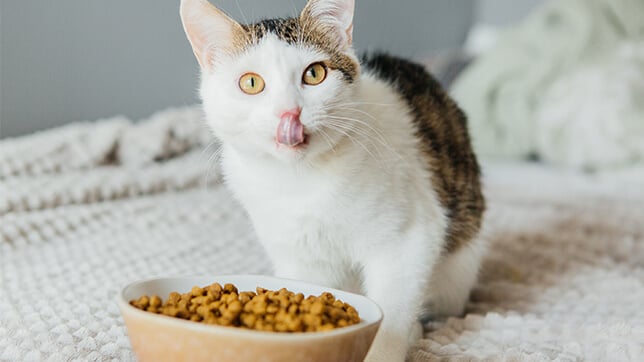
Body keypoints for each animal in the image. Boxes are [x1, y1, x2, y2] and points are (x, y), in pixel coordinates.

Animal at [179, 1, 486, 360]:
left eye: (314, 74)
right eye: (251, 83)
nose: (289, 113)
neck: (302, 180)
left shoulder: (410, 236)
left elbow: (393, 306)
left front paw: (383, 348)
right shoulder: (300, 258)